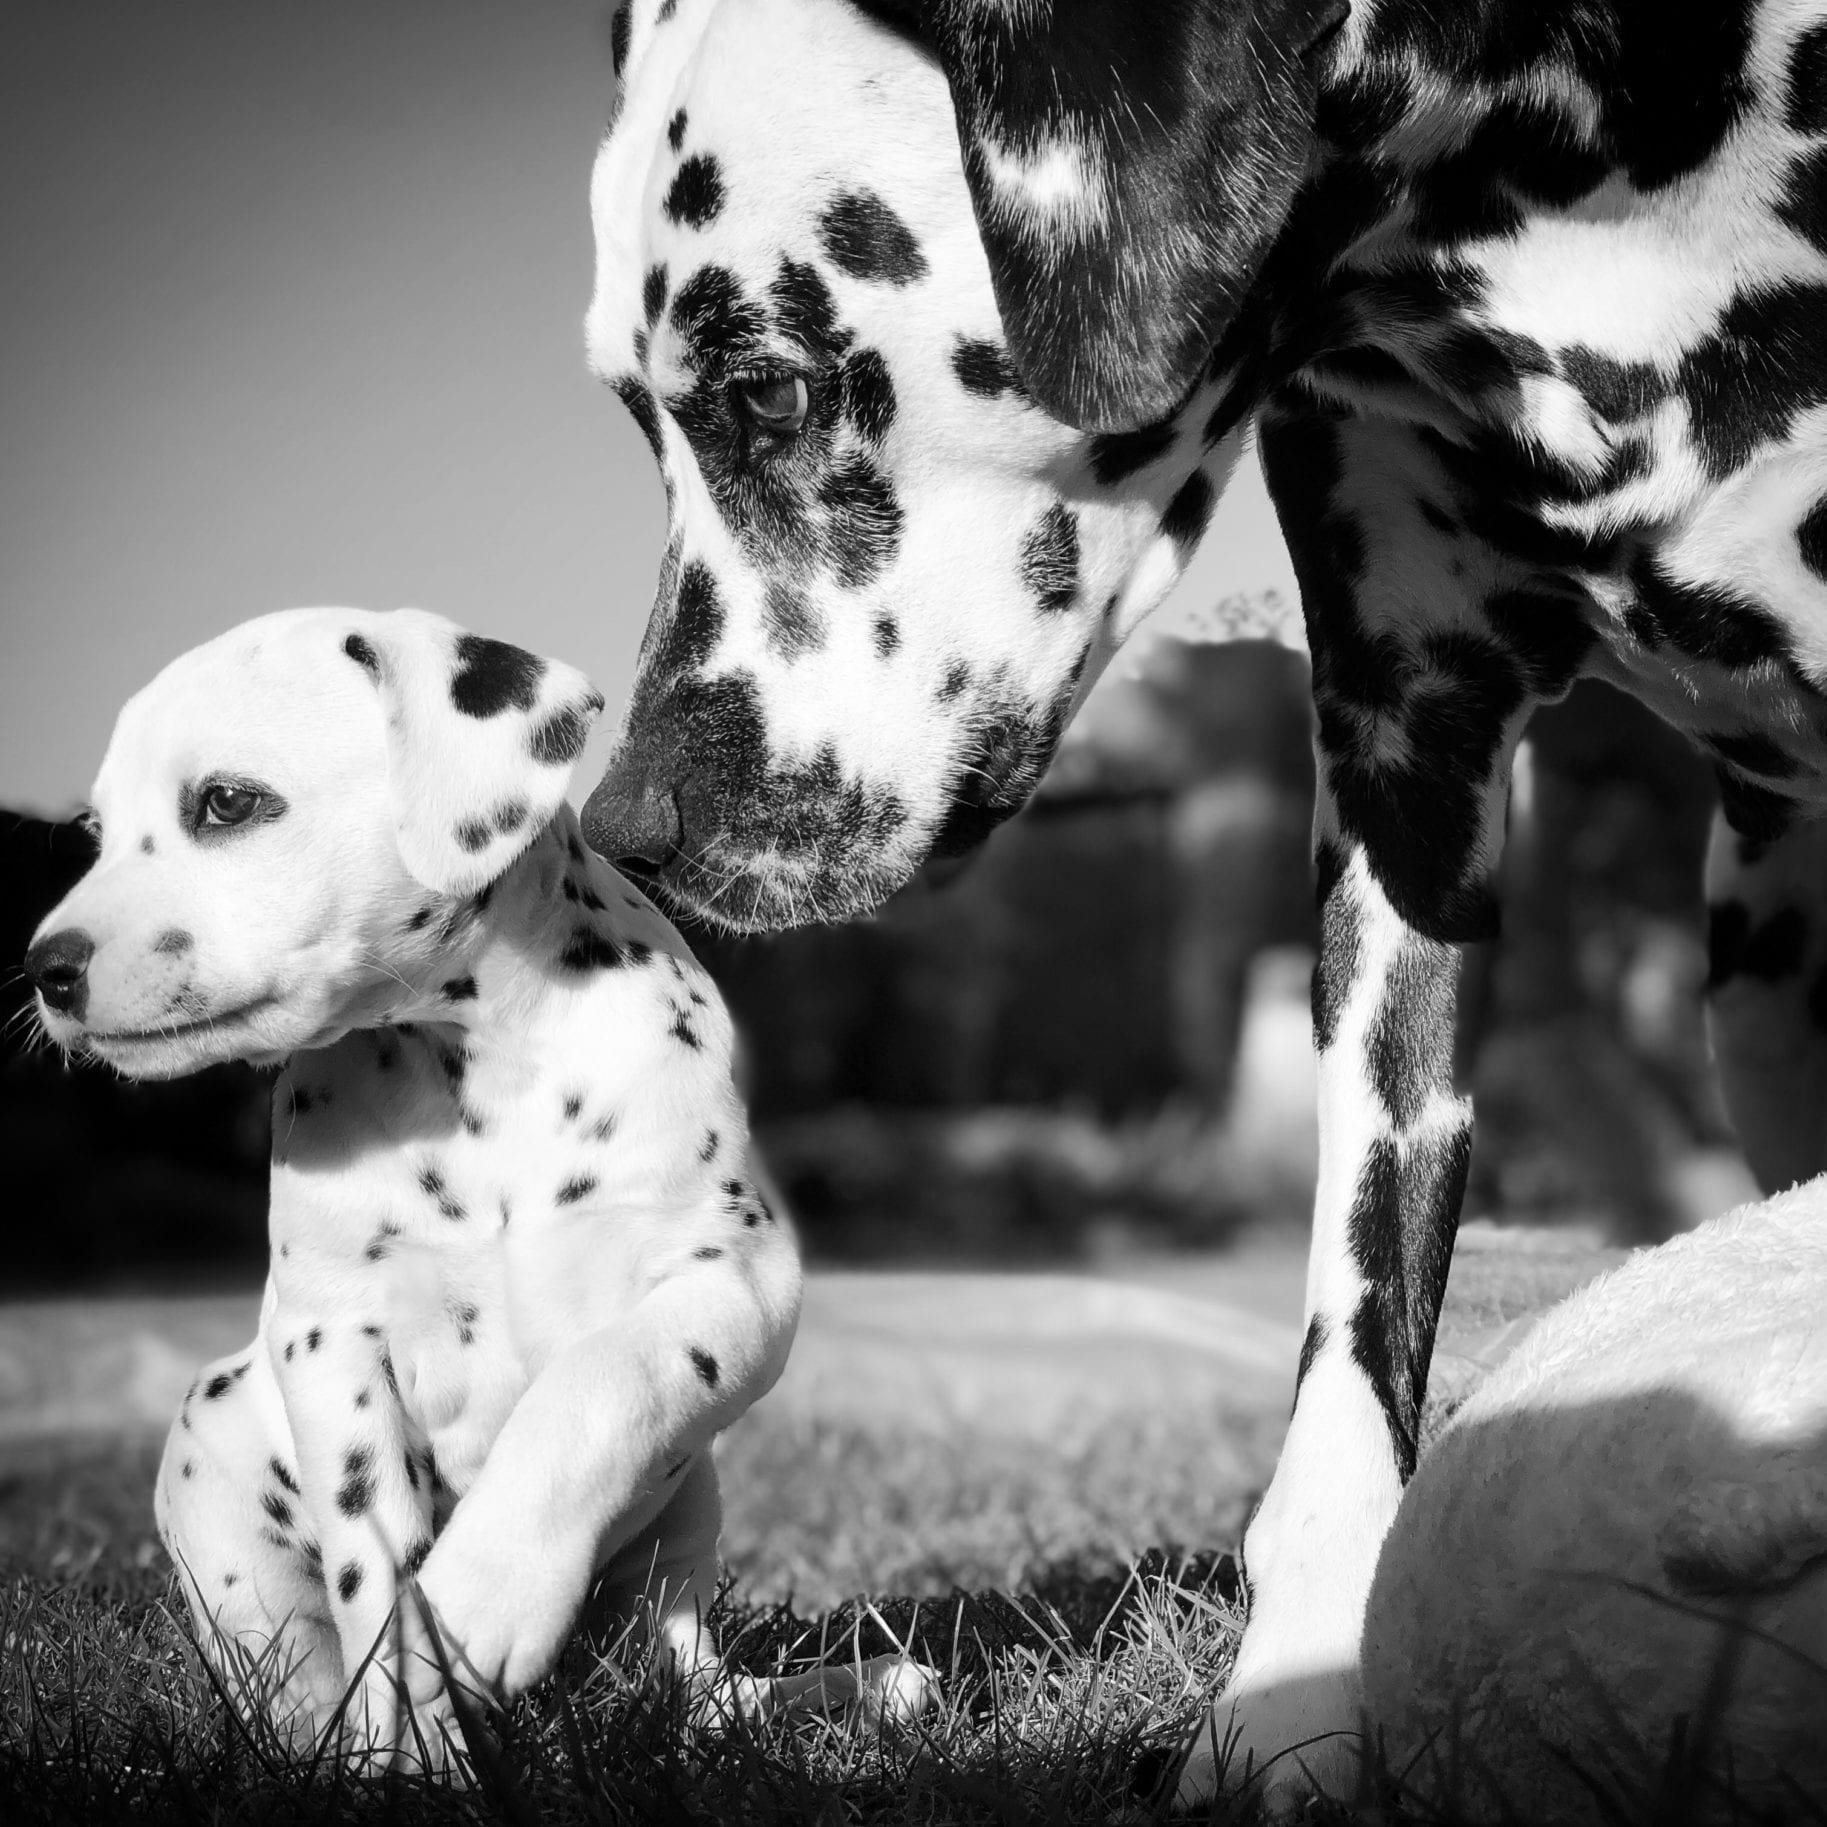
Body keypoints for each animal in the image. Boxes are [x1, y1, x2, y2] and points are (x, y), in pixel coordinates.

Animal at [21, 610, 920, 1768]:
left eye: (226, 801)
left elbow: (600, 1382)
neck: (481, 1058)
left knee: (686, 1683)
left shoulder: (735, 1277)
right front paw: (416, 1736)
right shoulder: (334, 1339)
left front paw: (484, 1598)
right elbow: (375, 1562)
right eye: (94, 830)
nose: (48, 968)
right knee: (297, 1689)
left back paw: (843, 1688)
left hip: (684, 1514)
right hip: (213, 1452)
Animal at [577, 0, 1827, 1805]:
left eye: (770, 384)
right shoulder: (1406, 767)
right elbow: (1351, 1334)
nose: (624, 823)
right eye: (635, 412)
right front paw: (1290, 1704)